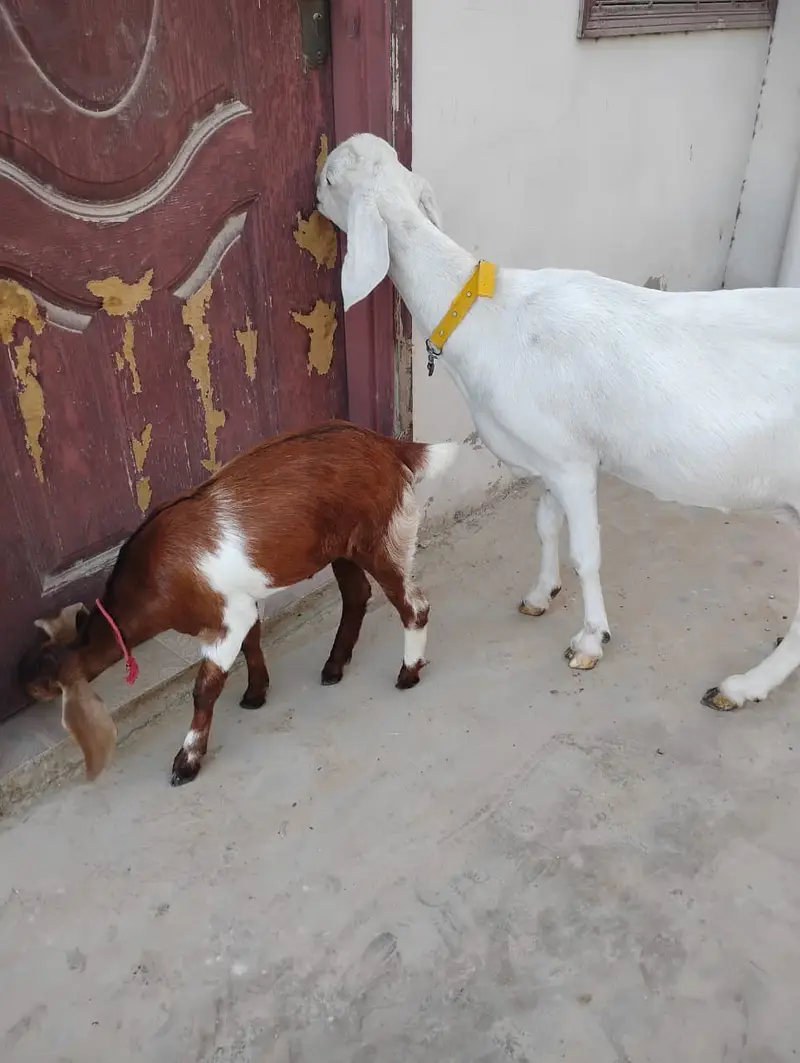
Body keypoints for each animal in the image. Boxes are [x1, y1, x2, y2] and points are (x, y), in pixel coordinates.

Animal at [18, 421, 458, 785]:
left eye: (45, 684)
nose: (23, 688)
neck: (149, 578)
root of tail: (389, 446)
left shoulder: (226, 615)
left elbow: (205, 687)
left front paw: (187, 761)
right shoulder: (241, 603)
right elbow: (253, 643)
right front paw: (256, 694)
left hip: (383, 537)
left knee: (413, 605)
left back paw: (407, 673)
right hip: (342, 547)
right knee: (356, 595)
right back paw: (334, 666)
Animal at [317, 132, 800, 712]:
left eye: (328, 179)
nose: (312, 198)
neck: (488, 315)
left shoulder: (572, 462)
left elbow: (585, 554)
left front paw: (591, 641)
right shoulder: (547, 451)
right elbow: (546, 524)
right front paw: (540, 594)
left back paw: (741, 687)